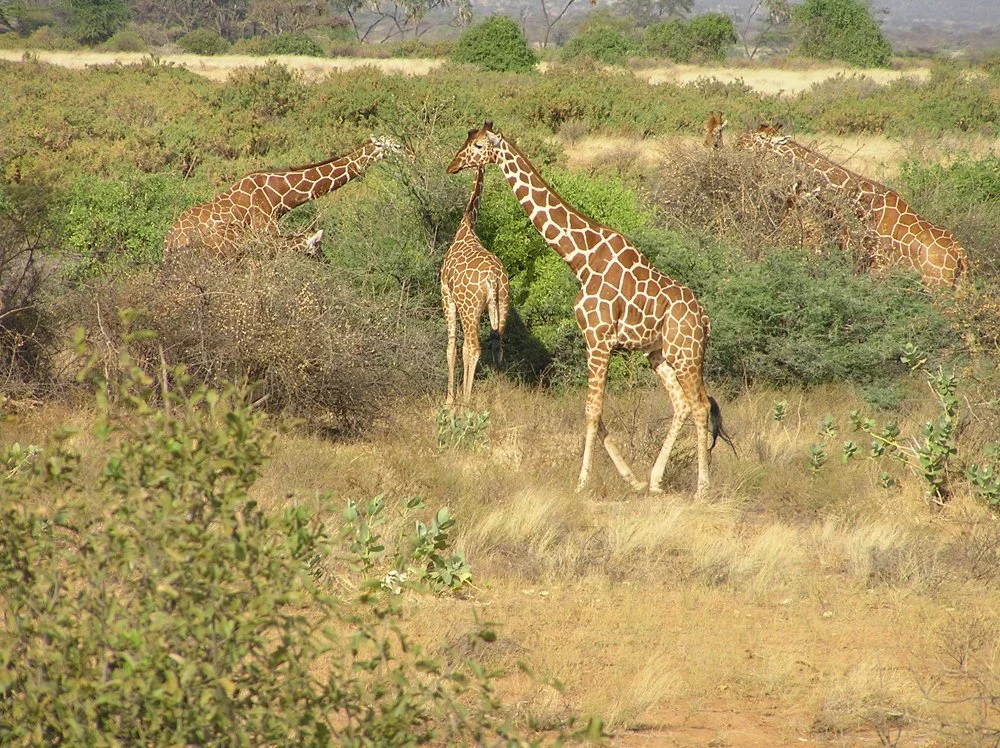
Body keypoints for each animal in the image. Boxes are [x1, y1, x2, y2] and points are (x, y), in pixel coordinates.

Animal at [440, 157, 510, 407]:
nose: (451, 168)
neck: (467, 225)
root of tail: (493, 278)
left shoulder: (447, 295)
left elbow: (452, 347)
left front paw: (450, 400)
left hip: (470, 309)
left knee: (473, 347)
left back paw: (466, 401)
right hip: (502, 305)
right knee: (497, 346)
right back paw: (496, 399)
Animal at [448, 121, 717, 496]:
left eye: (476, 146)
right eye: (466, 141)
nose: (452, 165)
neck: (581, 259)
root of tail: (704, 319)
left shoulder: (599, 340)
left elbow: (592, 410)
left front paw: (582, 481)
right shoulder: (595, 343)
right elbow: (596, 412)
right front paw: (629, 478)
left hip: (686, 353)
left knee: (701, 405)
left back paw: (702, 488)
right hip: (658, 353)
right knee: (680, 404)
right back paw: (654, 481)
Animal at [742, 123, 968, 287]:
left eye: (759, 138)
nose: (738, 142)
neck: (864, 202)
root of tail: (960, 255)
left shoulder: (878, 269)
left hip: (937, 284)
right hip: (958, 286)